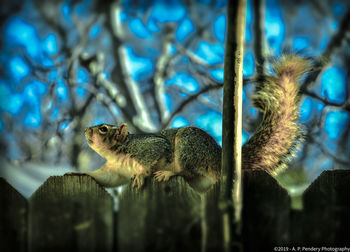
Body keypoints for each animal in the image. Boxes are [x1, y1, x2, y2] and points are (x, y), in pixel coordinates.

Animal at [67, 55, 312, 193]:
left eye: (103, 129)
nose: (86, 130)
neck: (118, 153)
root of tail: (218, 159)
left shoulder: (148, 147)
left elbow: (154, 154)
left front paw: (142, 175)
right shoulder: (115, 171)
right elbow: (103, 178)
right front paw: (76, 173)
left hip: (188, 147)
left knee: (187, 172)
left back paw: (169, 174)